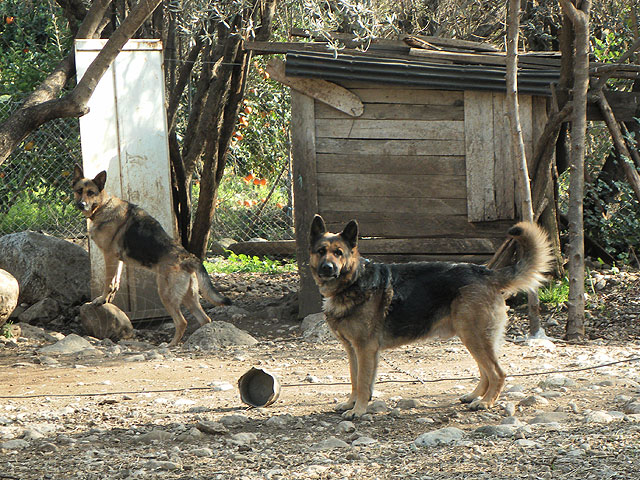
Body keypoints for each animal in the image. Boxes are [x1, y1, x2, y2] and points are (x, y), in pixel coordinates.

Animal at [71, 165, 231, 344]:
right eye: (79, 191)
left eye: (91, 192)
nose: (81, 204)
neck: (103, 206)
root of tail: (188, 258)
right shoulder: (118, 260)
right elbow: (115, 281)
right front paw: (109, 298)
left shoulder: (109, 255)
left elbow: (107, 282)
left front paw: (101, 299)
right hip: (188, 297)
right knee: (204, 319)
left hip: (166, 294)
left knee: (182, 322)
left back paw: (171, 344)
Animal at [308, 216, 552, 418]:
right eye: (321, 251)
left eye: (339, 253)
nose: (327, 268)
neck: (353, 280)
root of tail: (486, 272)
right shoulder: (353, 350)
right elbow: (354, 379)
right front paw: (351, 403)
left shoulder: (365, 349)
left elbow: (362, 381)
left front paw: (358, 410)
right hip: (472, 337)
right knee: (486, 372)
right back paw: (475, 396)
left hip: (474, 336)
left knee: (498, 373)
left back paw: (486, 402)